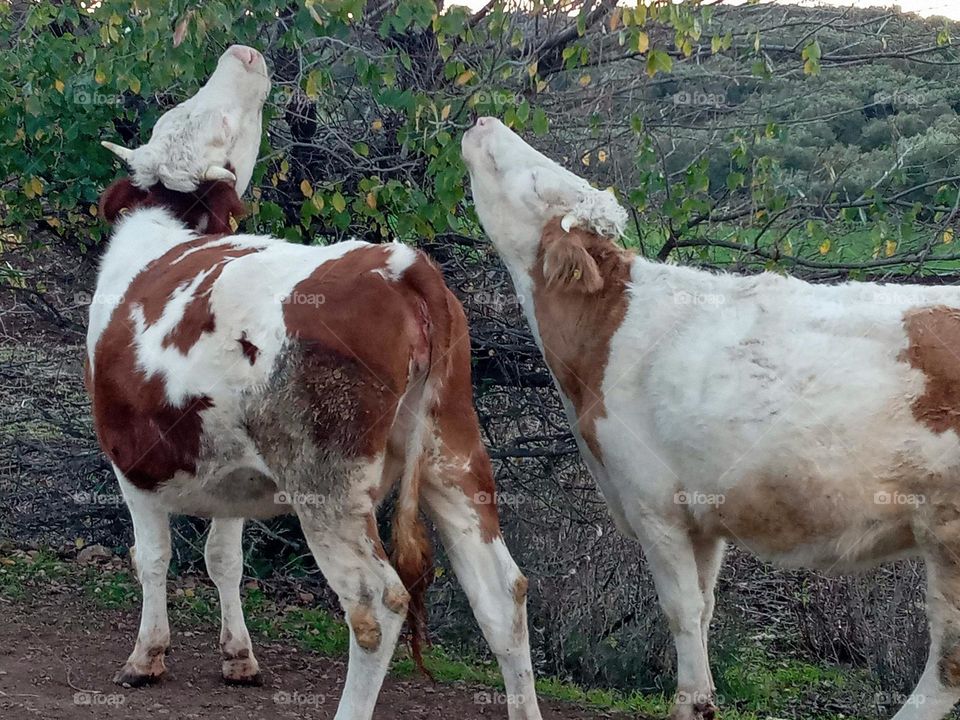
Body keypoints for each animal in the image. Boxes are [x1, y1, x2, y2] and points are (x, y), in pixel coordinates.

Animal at [88, 49, 543, 720]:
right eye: (200, 109)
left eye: (221, 120)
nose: (244, 54)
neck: (159, 235)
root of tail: (403, 266)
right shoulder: (228, 471)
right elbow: (223, 558)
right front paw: (239, 658)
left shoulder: (132, 462)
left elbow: (151, 557)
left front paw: (145, 659)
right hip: (453, 455)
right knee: (502, 593)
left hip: (327, 483)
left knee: (378, 605)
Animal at [462, 115, 960, 720]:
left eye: (534, 179)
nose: (484, 119)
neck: (607, 332)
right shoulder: (703, 516)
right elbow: (703, 609)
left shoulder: (653, 503)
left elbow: (679, 609)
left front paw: (692, 702)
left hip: (950, 533)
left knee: (949, 665)